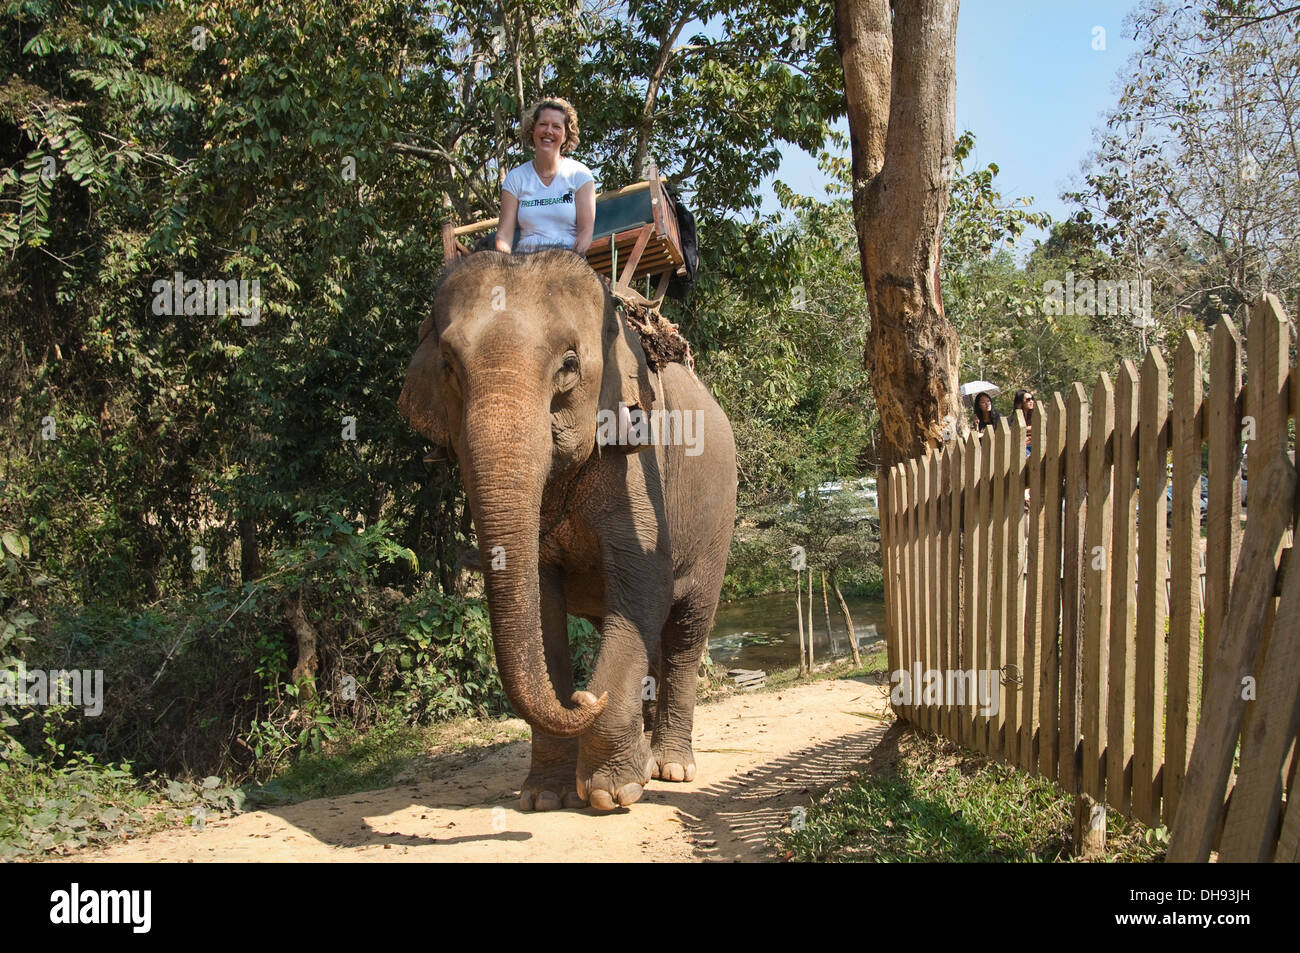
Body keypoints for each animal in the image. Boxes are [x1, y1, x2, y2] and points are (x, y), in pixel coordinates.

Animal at [398, 249, 737, 812]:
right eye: (448, 367)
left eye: (569, 364)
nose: (584, 696)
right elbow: (543, 607)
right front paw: (544, 797)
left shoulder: (636, 461)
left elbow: (644, 582)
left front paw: (612, 792)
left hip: (717, 522)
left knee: (687, 628)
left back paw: (670, 767)